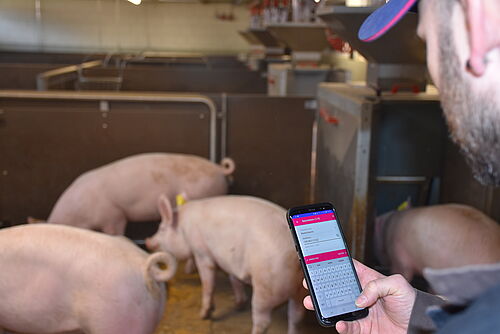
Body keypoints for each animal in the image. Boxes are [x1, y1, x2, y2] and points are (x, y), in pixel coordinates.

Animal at [146, 196, 304, 334]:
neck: (183, 227)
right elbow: (234, 279)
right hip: (299, 292)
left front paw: (204, 314)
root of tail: (294, 257)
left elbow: (208, 283)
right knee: (296, 317)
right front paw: (238, 305)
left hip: (266, 287)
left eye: (162, 229)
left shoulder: (202, 252)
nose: (147, 241)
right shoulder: (231, 262)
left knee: (263, 321)